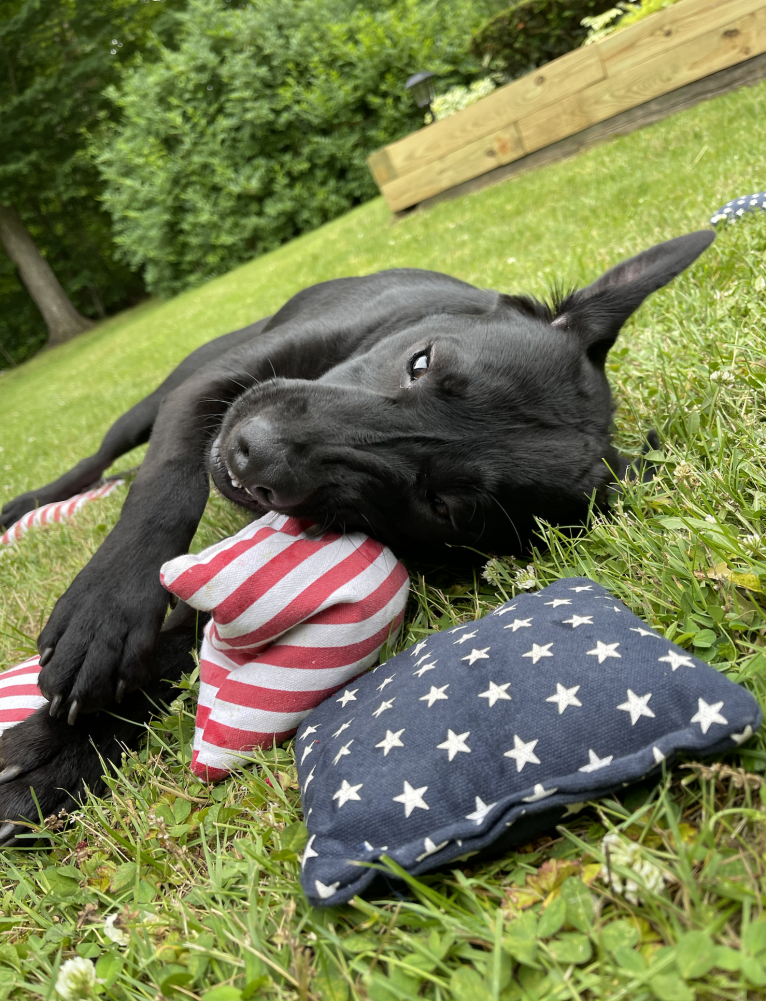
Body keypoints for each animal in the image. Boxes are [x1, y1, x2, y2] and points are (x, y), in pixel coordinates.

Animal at [0, 232, 712, 836]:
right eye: (421, 362)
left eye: (445, 505)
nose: (253, 457)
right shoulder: (211, 389)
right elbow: (165, 485)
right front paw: (106, 615)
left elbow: (182, 650)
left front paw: (63, 752)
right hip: (156, 398)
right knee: (101, 460)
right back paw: (31, 507)